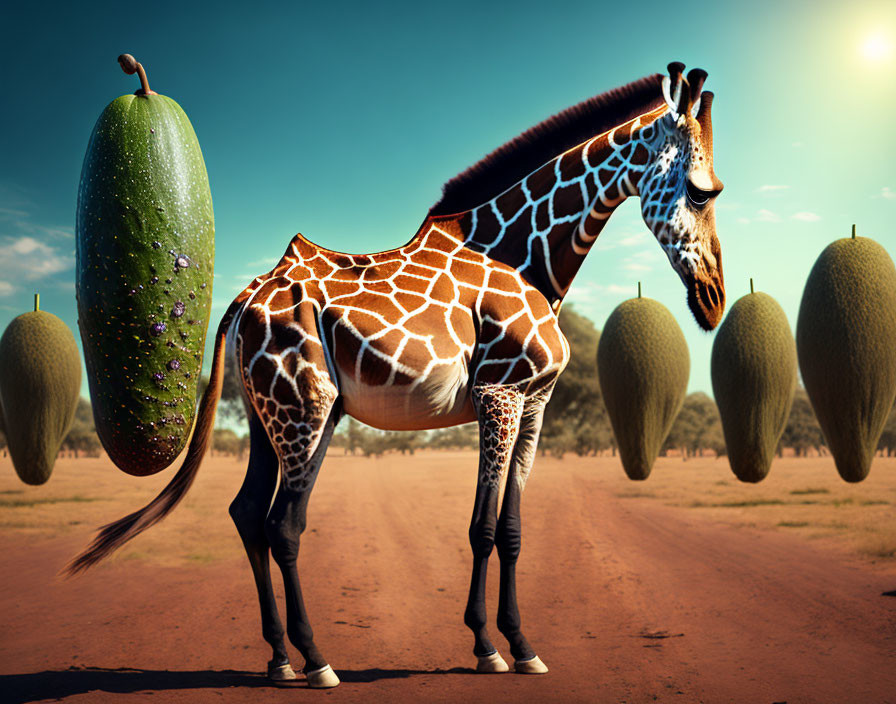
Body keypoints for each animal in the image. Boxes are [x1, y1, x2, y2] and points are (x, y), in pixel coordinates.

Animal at [70, 60, 728, 688]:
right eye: (703, 192)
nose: (714, 298)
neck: (527, 260)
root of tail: (243, 300)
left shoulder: (535, 400)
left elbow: (513, 527)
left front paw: (523, 646)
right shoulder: (497, 392)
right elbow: (482, 527)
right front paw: (487, 647)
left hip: (274, 415)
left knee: (249, 513)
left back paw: (279, 659)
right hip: (304, 410)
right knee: (283, 525)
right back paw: (316, 662)